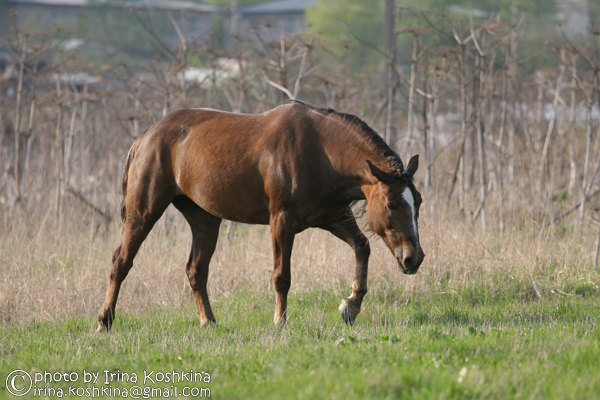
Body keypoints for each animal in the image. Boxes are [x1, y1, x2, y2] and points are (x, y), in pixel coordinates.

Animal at [97, 101, 422, 332]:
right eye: (392, 203)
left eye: (417, 201)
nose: (413, 258)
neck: (321, 151)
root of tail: (146, 138)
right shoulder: (282, 220)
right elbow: (282, 275)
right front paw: (280, 321)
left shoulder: (332, 217)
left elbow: (362, 247)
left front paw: (351, 306)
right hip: (143, 212)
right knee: (121, 262)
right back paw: (105, 320)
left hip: (204, 219)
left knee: (196, 270)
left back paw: (208, 322)